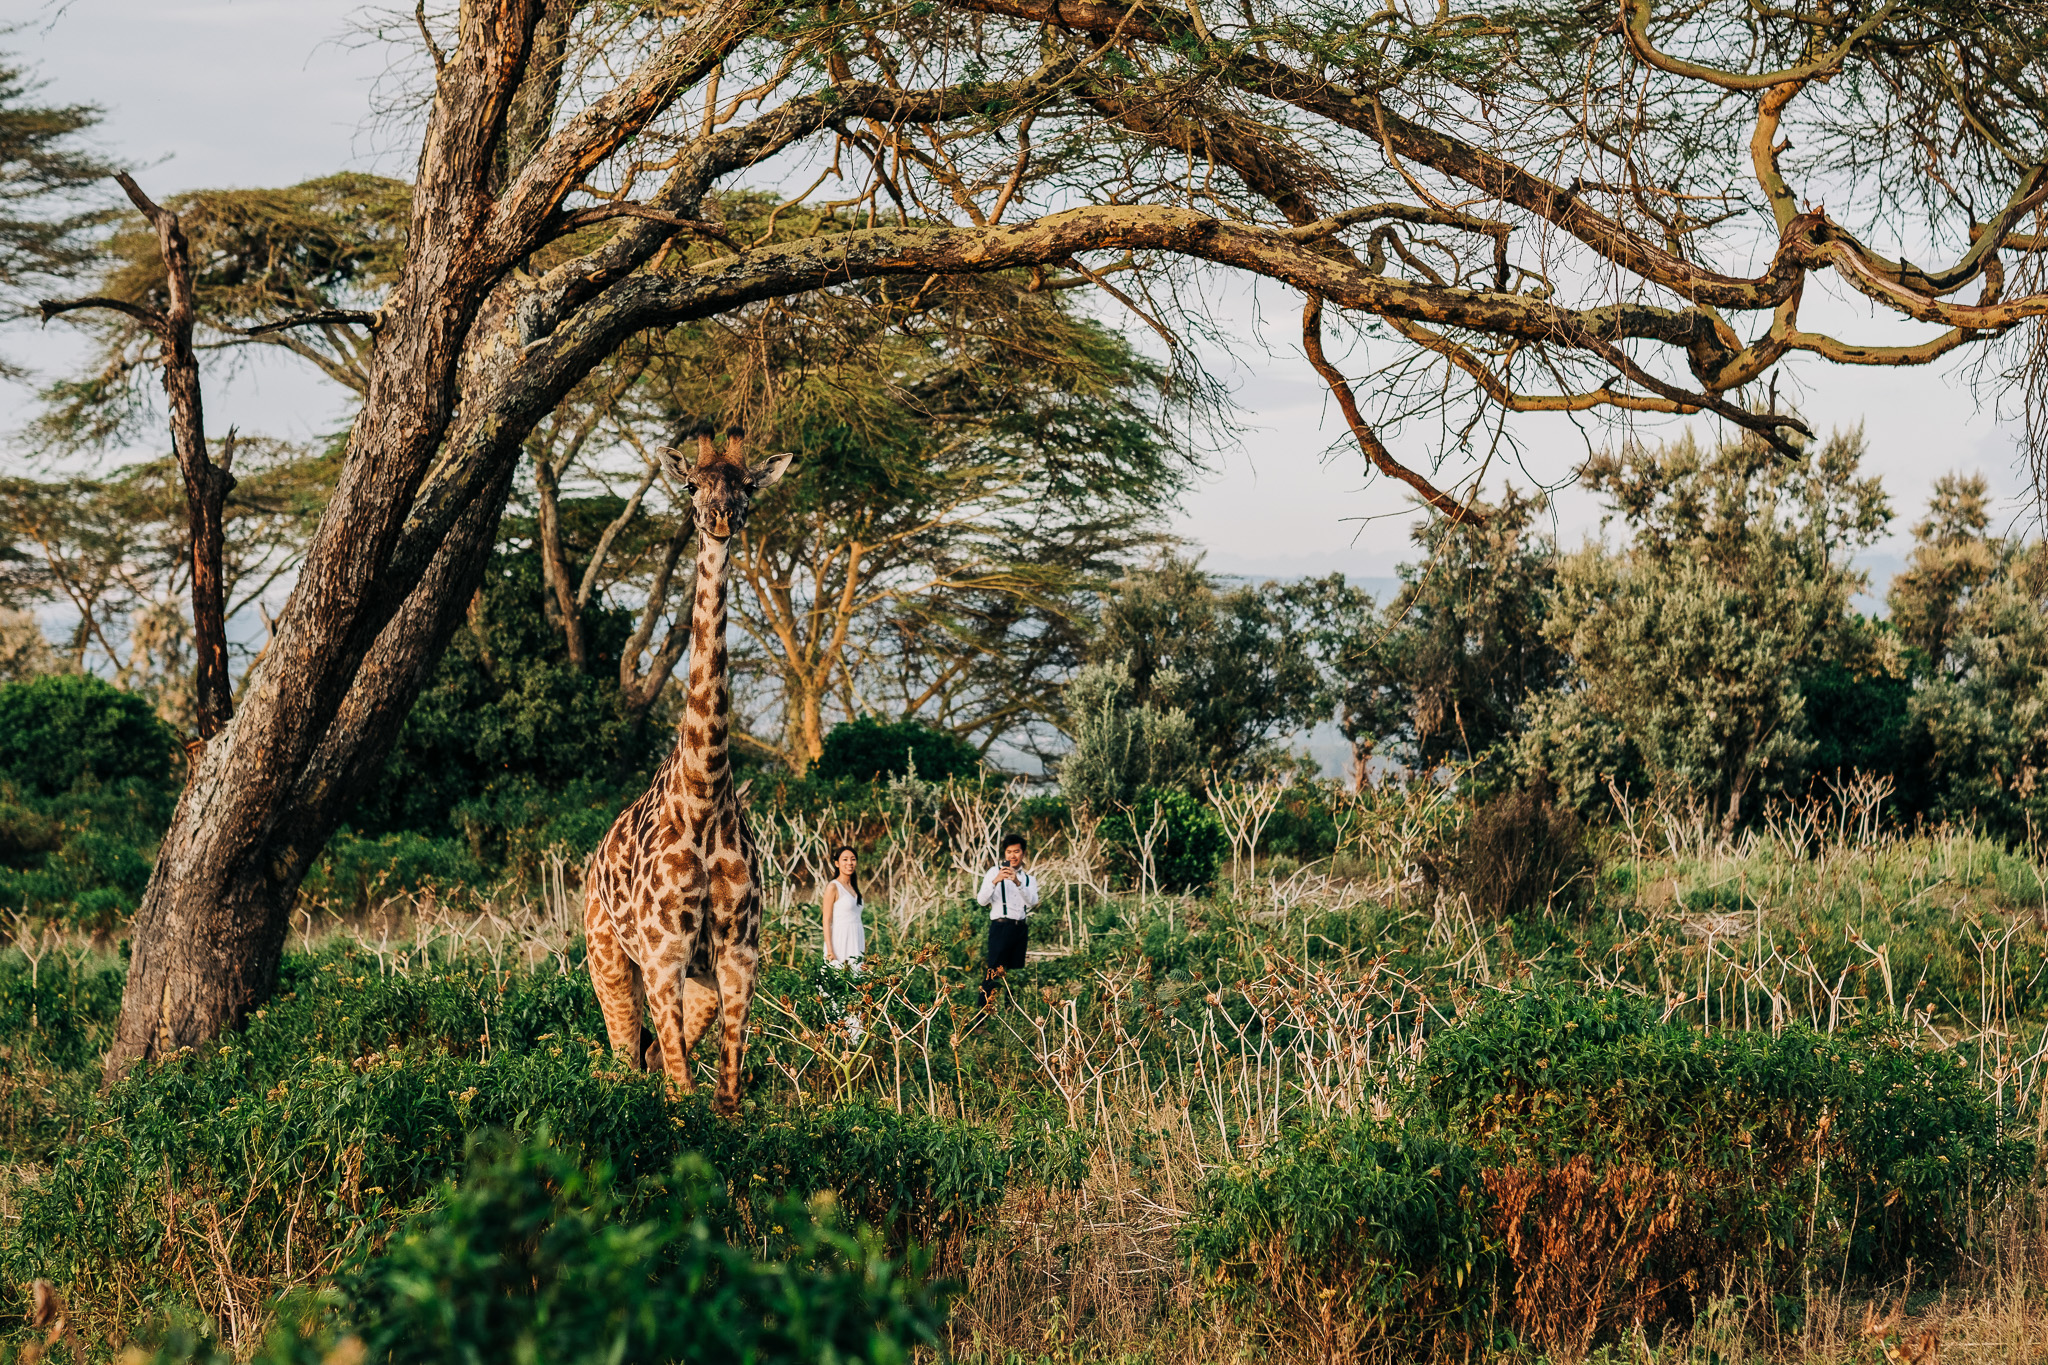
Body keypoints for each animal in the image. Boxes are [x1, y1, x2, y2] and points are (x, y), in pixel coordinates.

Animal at [589, 421, 794, 1113]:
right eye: (689, 485)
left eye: (748, 486)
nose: (719, 519)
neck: (704, 795)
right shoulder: (663, 954)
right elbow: (682, 1093)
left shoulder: (737, 954)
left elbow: (726, 1097)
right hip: (608, 959)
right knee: (629, 1058)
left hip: (694, 982)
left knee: (650, 1056)